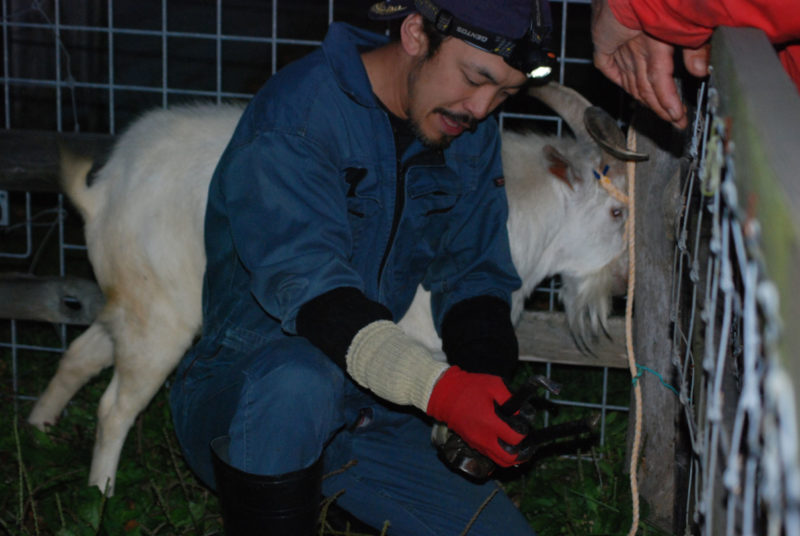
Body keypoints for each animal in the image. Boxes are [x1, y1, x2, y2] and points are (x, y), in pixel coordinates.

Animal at [28, 80, 636, 494]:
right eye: (615, 212)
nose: (627, 283)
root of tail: (104, 190)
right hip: (160, 317)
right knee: (115, 406)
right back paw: (101, 495)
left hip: (133, 300)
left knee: (82, 353)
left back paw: (39, 431)